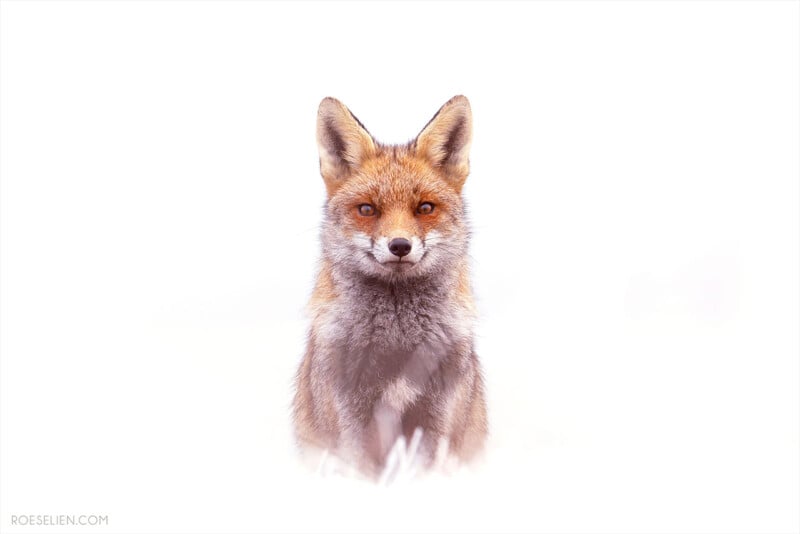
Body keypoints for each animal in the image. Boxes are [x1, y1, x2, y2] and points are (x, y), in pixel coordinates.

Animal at [292, 95, 487, 478]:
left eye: (424, 207)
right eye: (367, 209)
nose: (399, 245)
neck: (396, 342)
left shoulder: (439, 416)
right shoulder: (349, 419)